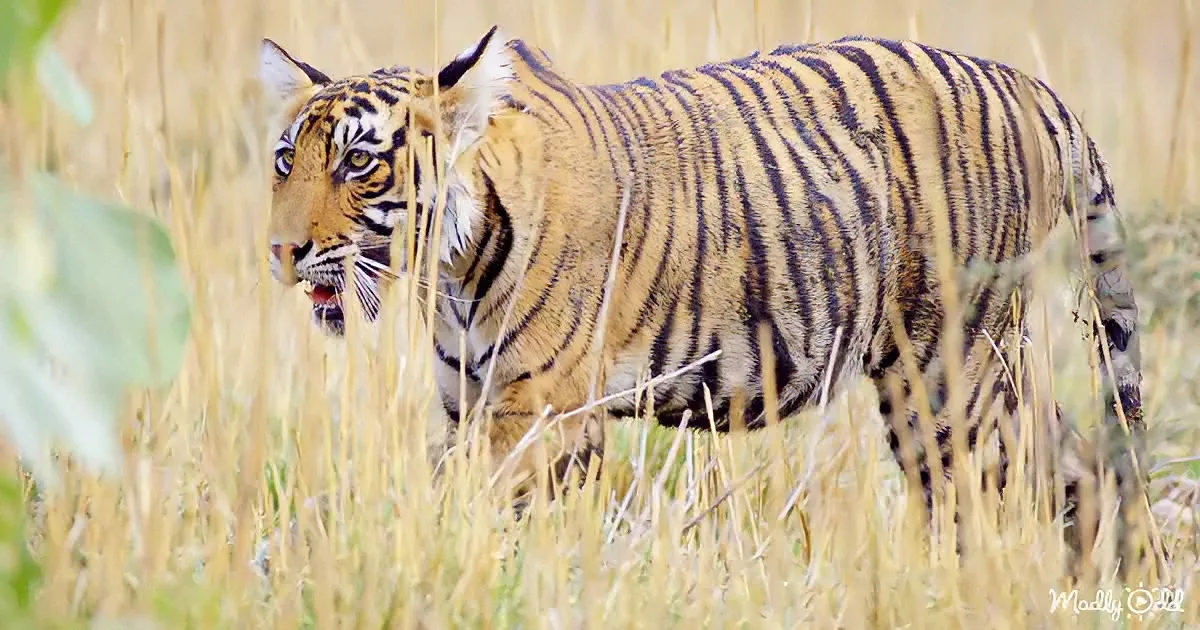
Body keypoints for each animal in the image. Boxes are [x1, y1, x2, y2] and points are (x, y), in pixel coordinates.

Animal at [258, 25, 1159, 577]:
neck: (453, 266)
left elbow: (493, 516)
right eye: (285, 159)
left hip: (946, 372)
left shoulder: (535, 414)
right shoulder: (466, 403)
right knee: (1080, 465)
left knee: (986, 494)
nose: (281, 252)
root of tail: (1028, 85)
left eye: (359, 162)